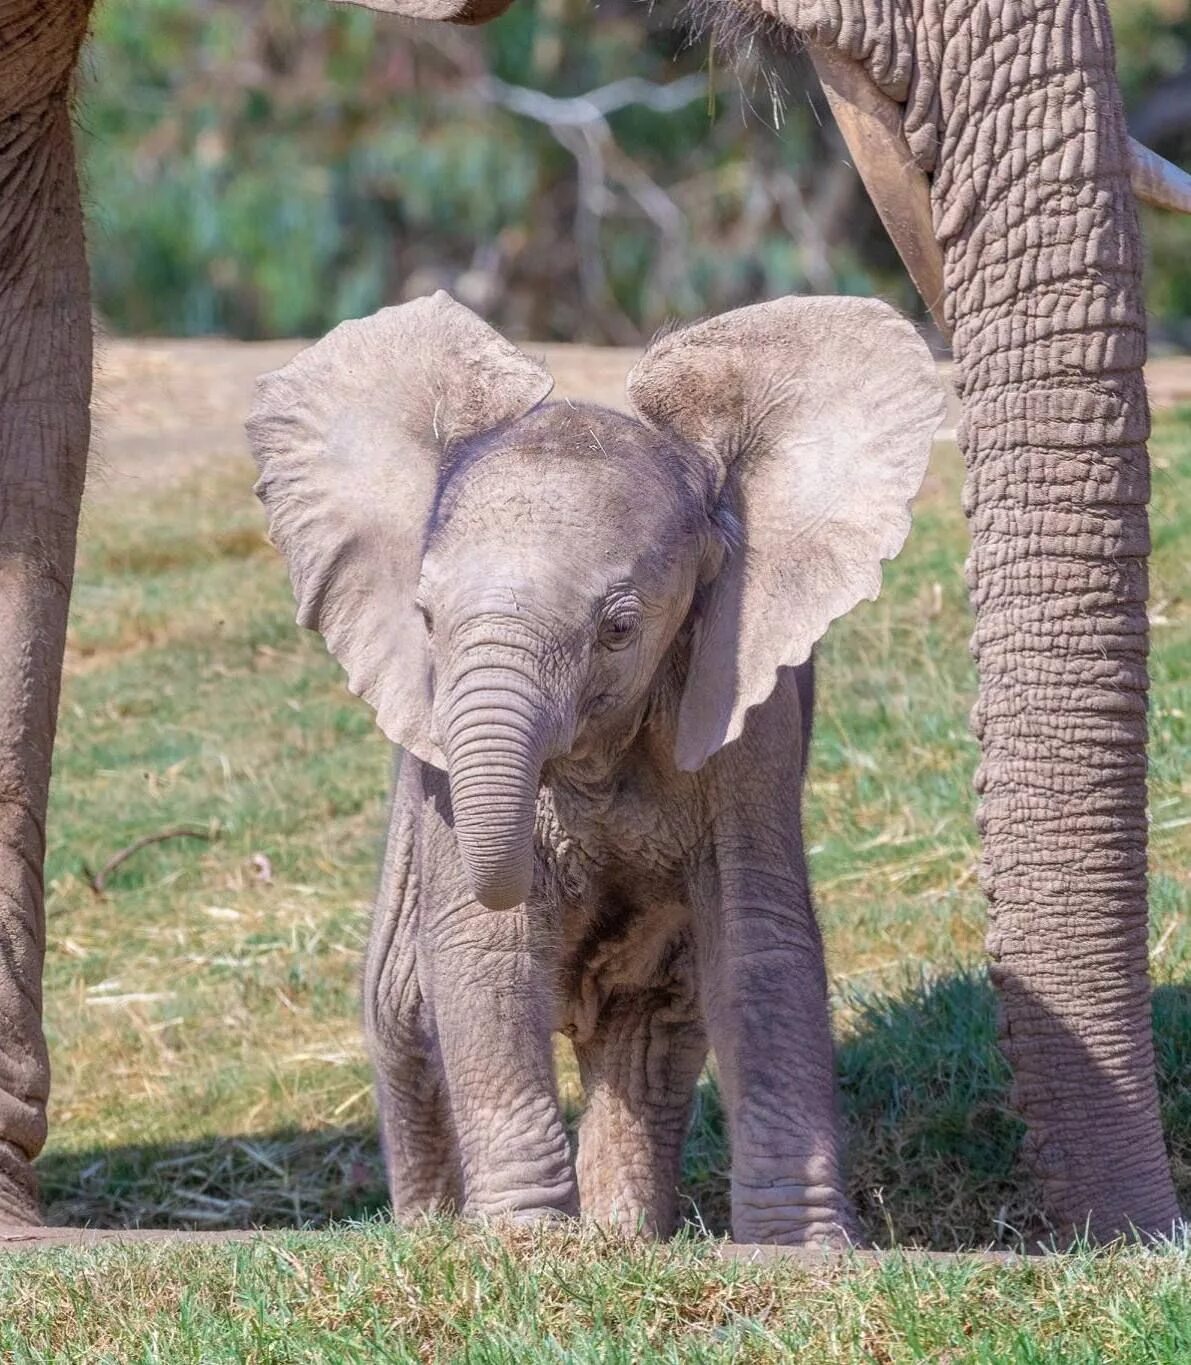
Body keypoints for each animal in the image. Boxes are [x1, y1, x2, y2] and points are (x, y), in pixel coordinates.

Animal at [246, 290, 944, 1250]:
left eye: (619, 627)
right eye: (424, 618)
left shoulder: (742, 703)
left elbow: (759, 940)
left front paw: (800, 1253)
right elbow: (483, 946)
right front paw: (524, 1246)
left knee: (649, 1029)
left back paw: (622, 1240)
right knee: (405, 1012)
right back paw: (445, 1236)